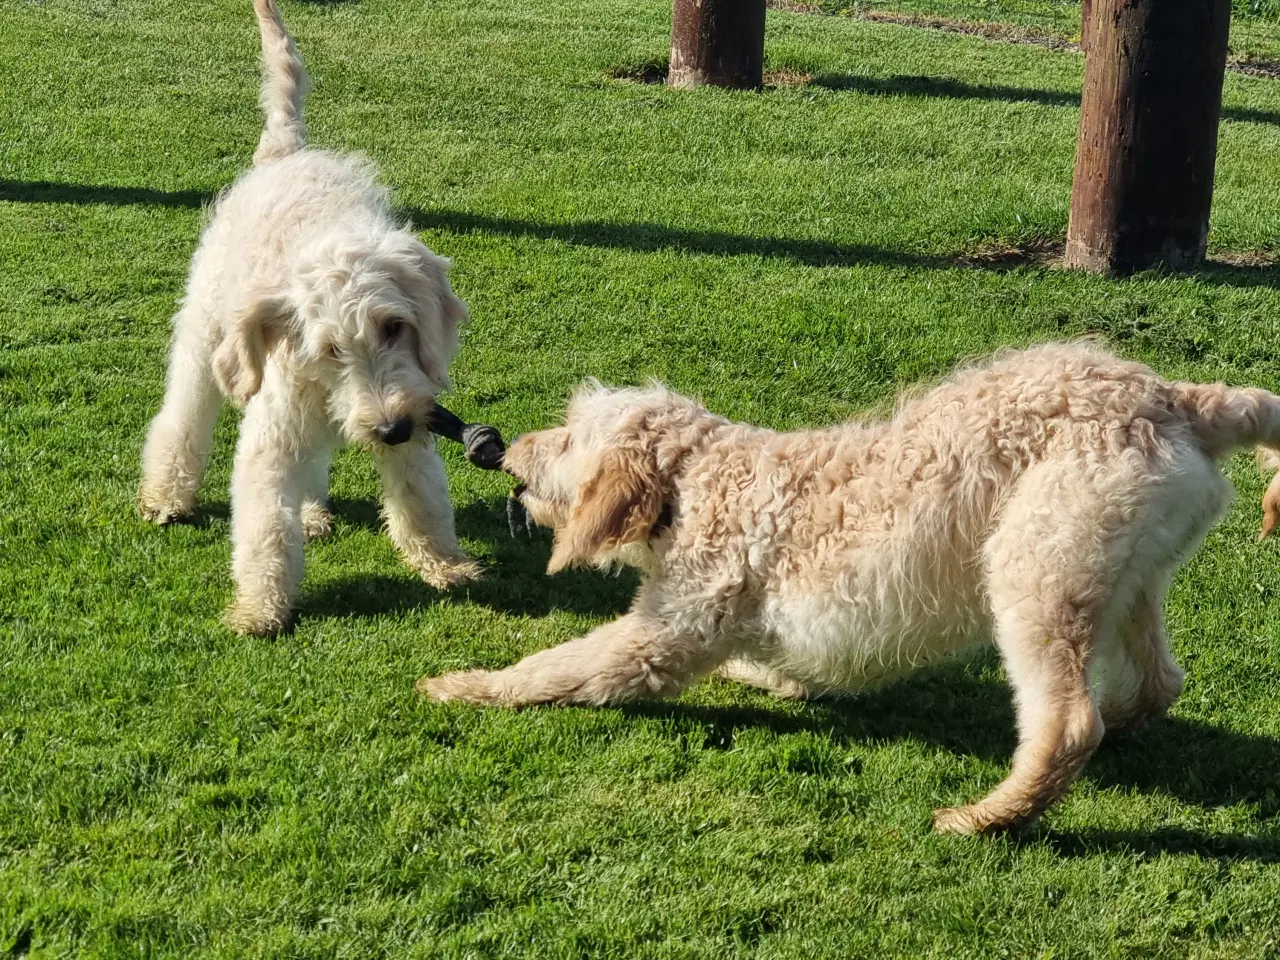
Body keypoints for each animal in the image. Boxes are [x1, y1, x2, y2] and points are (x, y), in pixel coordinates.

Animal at [138, 0, 481, 640]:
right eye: (331, 350)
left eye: (394, 327)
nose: (390, 429)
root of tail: (287, 152)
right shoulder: (271, 440)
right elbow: (265, 528)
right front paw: (260, 608)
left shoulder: (411, 411)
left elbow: (421, 495)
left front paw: (444, 564)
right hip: (202, 336)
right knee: (181, 419)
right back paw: (167, 495)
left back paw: (316, 512)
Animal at [424, 343, 1280, 834]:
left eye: (569, 436)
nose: (503, 448)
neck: (697, 482)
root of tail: (1174, 398)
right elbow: (772, 664)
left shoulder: (660, 639)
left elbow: (557, 667)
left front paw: (466, 685)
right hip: (1127, 578)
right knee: (1159, 681)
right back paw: (1121, 734)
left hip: (1036, 576)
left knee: (1068, 722)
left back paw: (989, 817)